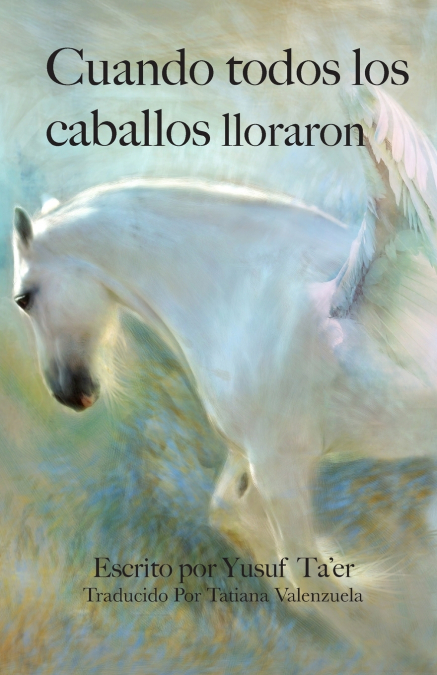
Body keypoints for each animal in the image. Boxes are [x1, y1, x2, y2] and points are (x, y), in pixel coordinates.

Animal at [12, 85, 437, 663]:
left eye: (24, 297)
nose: (68, 393)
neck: (243, 292)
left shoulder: (281, 466)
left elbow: (310, 575)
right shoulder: (253, 455)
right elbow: (230, 515)